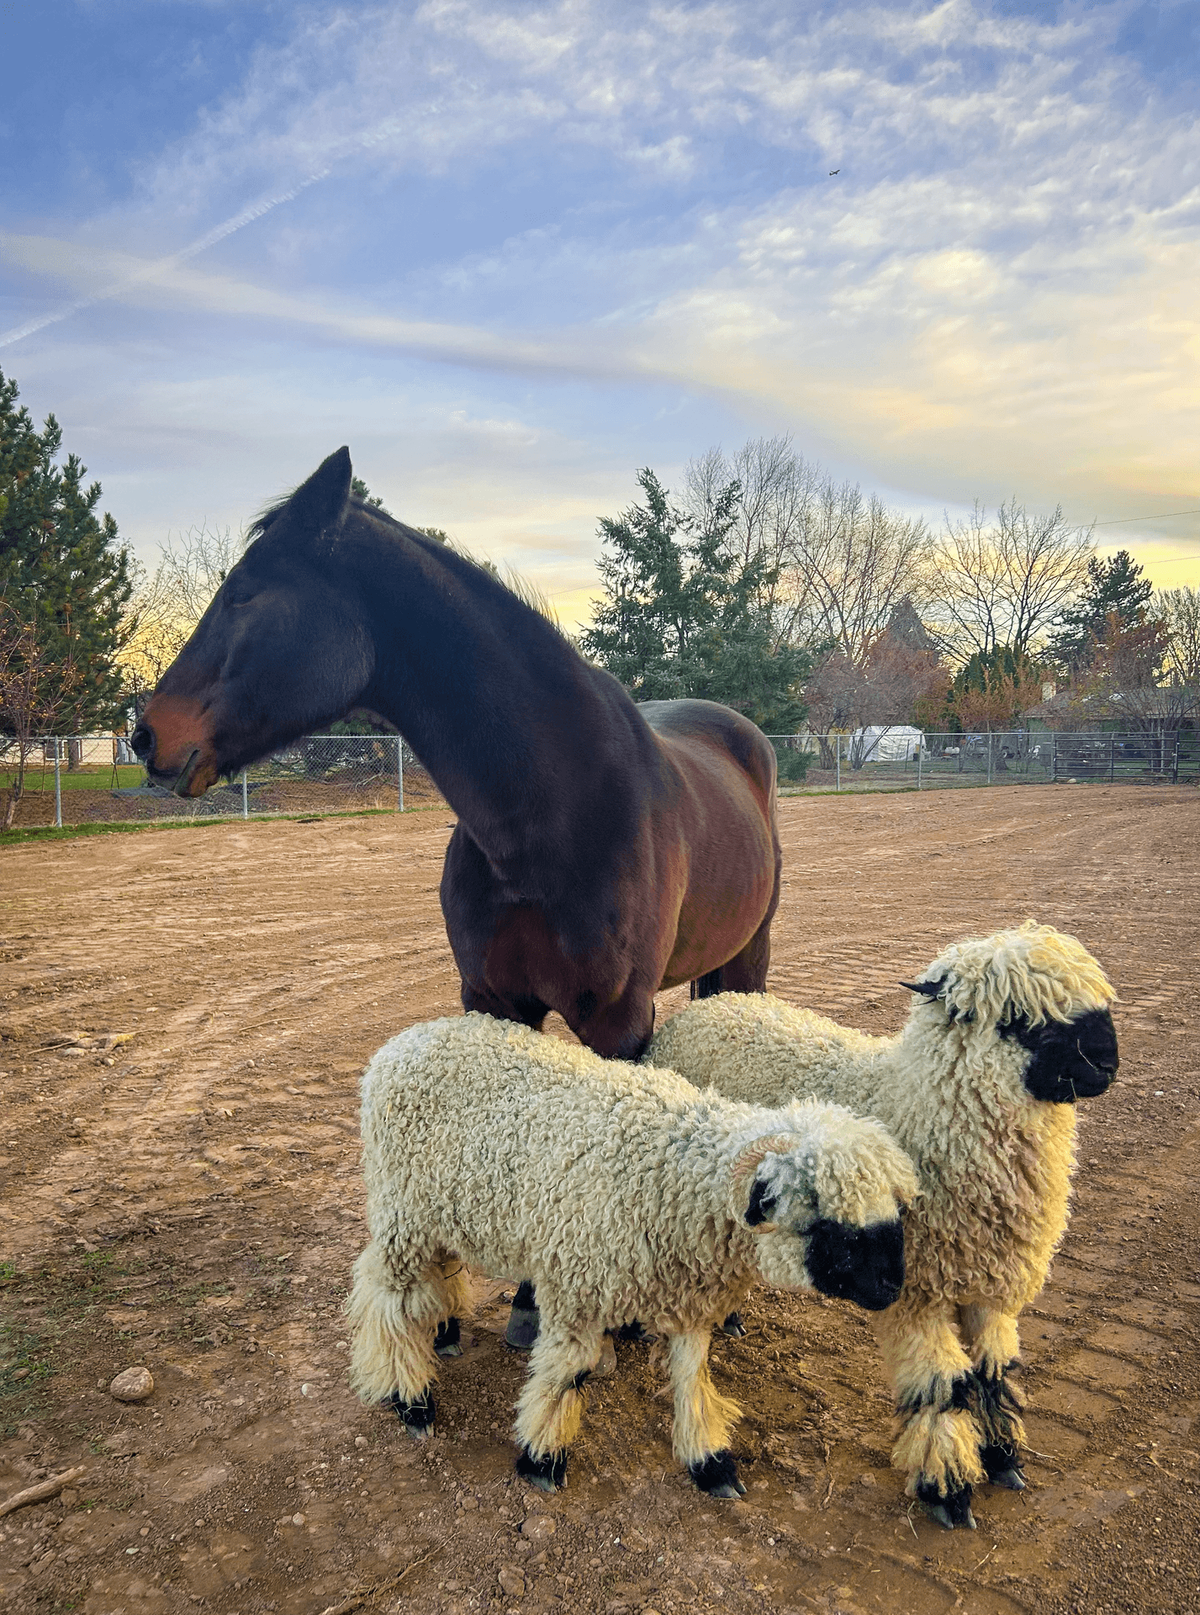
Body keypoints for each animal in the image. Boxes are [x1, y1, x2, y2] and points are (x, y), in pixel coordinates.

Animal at [133, 447, 782, 1346]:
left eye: (246, 594)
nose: (146, 733)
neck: (552, 810)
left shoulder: (619, 1022)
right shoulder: (492, 1001)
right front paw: (527, 1304)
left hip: (748, 957)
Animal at [347, 1012, 918, 1497]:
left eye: (895, 1212)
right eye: (831, 1226)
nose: (893, 1289)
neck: (674, 1177)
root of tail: (403, 1042)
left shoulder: (689, 1300)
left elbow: (691, 1375)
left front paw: (710, 1463)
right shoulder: (579, 1286)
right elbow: (566, 1374)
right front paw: (541, 1459)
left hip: (441, 1213)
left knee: (434, 1278)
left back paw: (443, 1334)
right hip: (401, 1213)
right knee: (387, 1299)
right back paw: (411, 1401)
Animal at [647, 922, 1119, 1530]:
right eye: (1017, 1019)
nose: (1107, 1063)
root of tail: (709, 1005)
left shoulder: (988, 1284)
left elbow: (992, 1371)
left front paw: (1003, 1458)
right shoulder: (914, 1291)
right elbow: (944, 1386)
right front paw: (948, 1489)